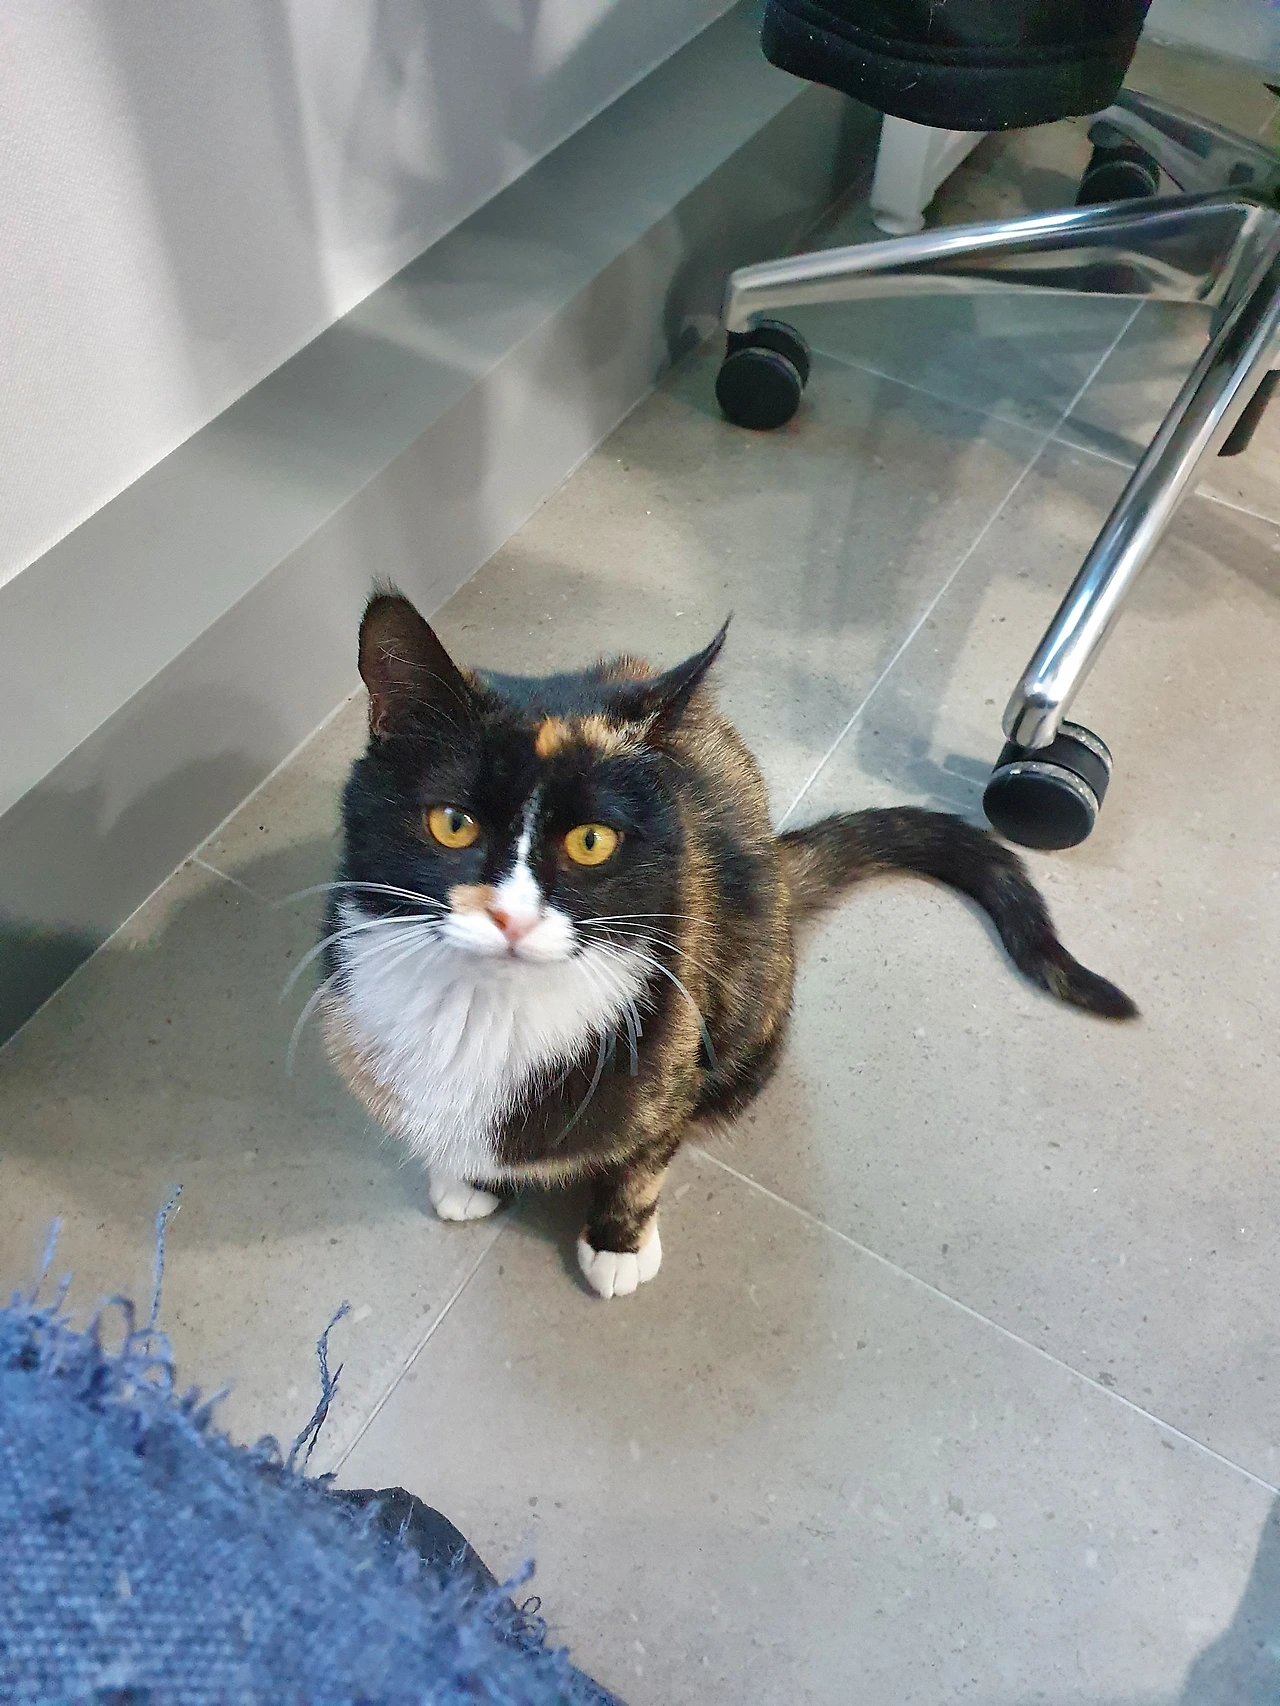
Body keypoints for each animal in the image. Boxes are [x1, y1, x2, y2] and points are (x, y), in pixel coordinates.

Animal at [318, 590, 1136, 1299]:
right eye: (452, 823)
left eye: (591, 840)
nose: (511, 918)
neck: (494, 1012)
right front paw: (470, 1179)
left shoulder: (676, 1027)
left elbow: (645, 1155)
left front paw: (617, 1246)